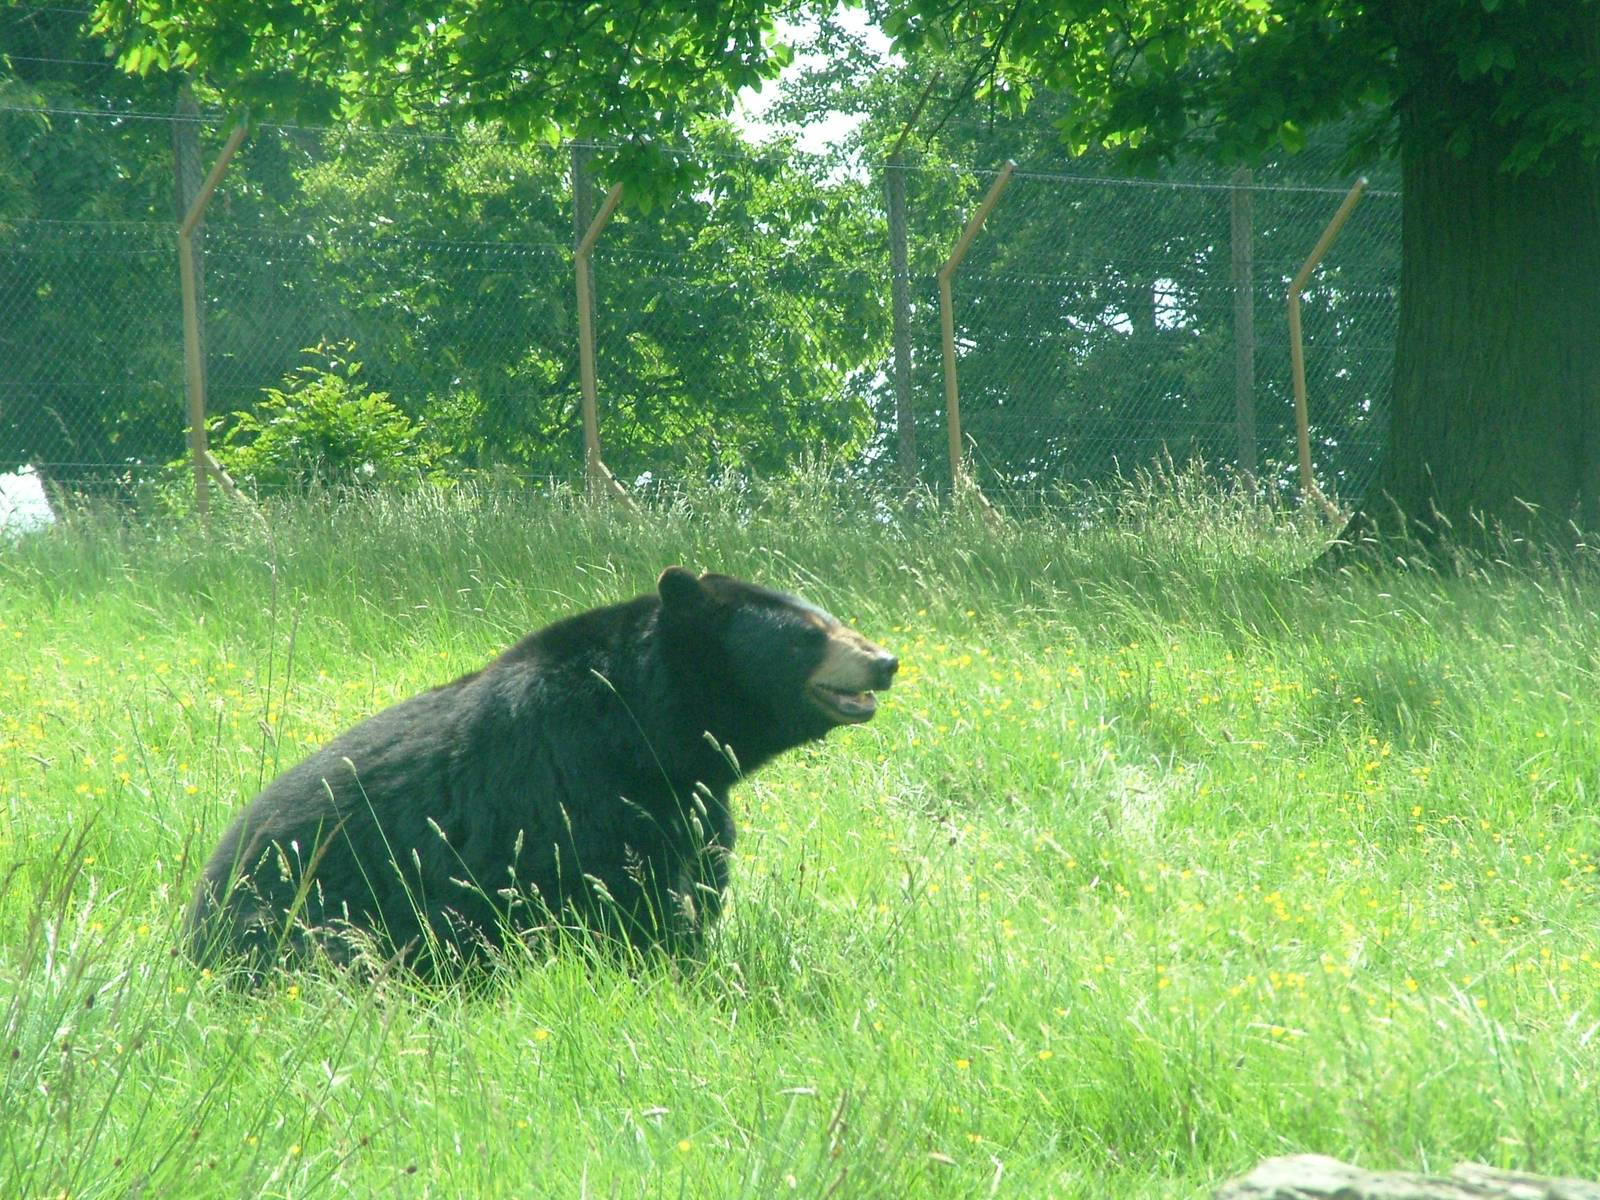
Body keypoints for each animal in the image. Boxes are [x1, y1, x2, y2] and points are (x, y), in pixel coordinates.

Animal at [185, 567, 897, 979]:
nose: (885, 661)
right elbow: (623, 904)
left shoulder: (690, 801)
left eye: (830, 617)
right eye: (808, 635)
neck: (648, 730)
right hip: (304, 913)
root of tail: (196, 915)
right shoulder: (575, 787)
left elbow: (696, 881)